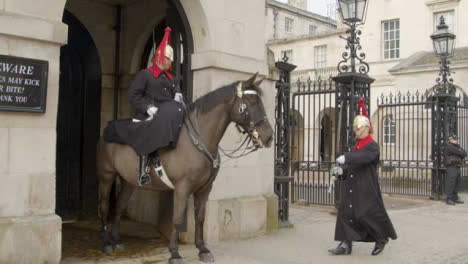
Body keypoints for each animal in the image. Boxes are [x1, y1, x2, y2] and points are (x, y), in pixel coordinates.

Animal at [97, 73, 276, 262]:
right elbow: (176, 219)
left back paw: (117, 240)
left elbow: (200, 217)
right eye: (251, 102)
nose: (268, 137)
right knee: (104, 207)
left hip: (128, 182)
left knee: (119, 206)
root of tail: (107, 129)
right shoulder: (182, 187)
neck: (200, 140)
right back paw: (107, 243)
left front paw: (202, 249)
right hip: (106, 177)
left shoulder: (205, 188)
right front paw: (174, 253)